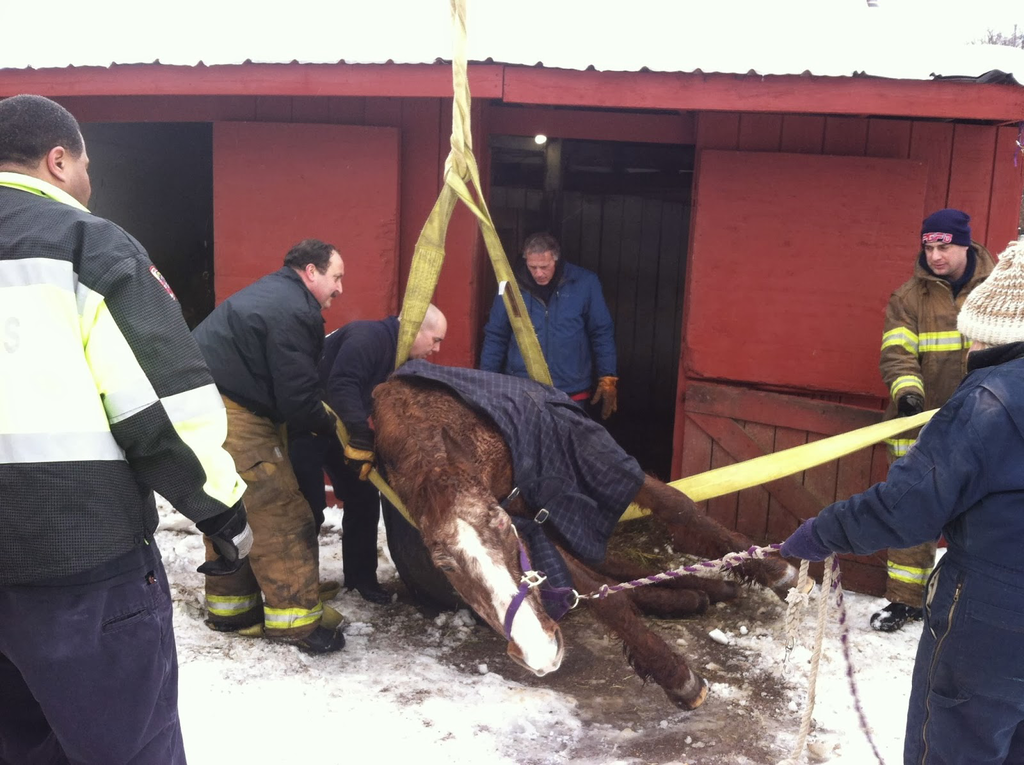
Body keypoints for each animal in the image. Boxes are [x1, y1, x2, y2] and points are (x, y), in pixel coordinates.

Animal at [371, 368, 797, 710]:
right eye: (443, 565)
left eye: (503, 526)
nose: (539, 651)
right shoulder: (536, 528)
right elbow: (598, 592)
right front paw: (676, 675)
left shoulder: (570, 486)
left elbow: (678, 507)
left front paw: (779, 573)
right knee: (609, 573)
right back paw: (695, 595)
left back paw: (719, 587)